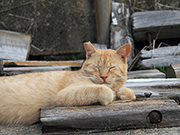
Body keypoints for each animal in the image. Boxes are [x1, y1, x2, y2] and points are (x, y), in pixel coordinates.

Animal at [0, 41, 135, 125]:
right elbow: (101, 89)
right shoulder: (64, 94)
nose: (103, 76)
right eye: (96, 67)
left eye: (111, 67)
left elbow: (128, 92)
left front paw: (123, 92)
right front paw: (110, 94)